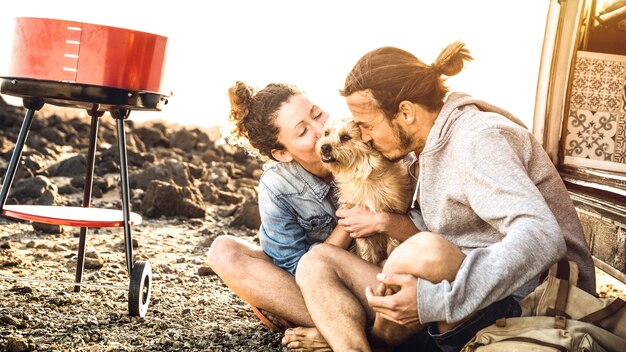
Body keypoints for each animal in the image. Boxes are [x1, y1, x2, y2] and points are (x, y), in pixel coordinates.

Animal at [314, 119, 412, 266]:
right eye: (326, 133)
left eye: (345, 137)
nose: (324, 147)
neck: (363, 176)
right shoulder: (357, 227)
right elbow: (366, 254)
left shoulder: (394, 218)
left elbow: (393, 247)